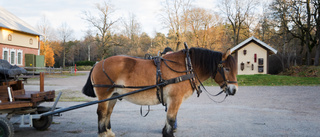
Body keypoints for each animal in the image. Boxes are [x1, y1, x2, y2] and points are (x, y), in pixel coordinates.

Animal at [82, 46, 238, 136]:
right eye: (227, 69)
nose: (234, 90)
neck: (187, 66)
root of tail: (98, 63)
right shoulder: (175, 99)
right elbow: (171, 118)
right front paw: (168, 134)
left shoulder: (172, 100)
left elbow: (169, 117)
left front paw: (165, 131)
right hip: (104, 95)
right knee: (101, 113)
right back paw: (103, 133)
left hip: (113, 95)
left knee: (108, 113)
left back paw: (108, 131)